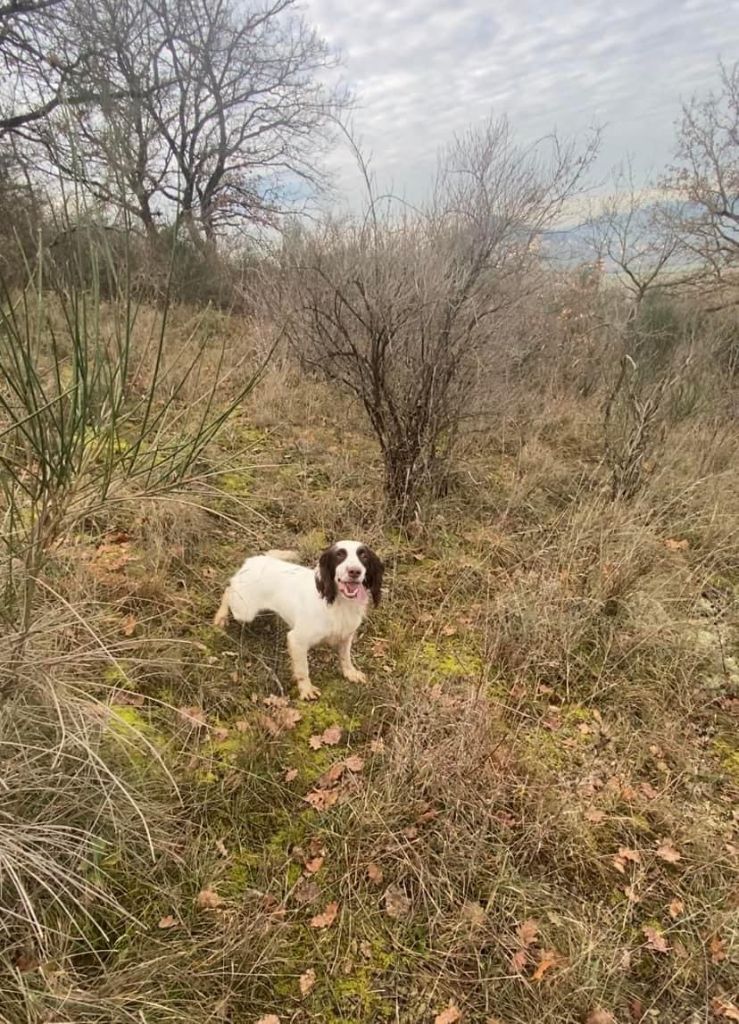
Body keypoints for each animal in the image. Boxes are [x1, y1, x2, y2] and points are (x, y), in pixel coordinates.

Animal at [213, 541, 384, 700]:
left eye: (363, 555)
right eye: (339, 555)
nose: (355, 571)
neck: (338, 603)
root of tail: (252, 561)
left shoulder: (346, 636)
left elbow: (345, 658)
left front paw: (351, 673)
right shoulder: (297, 640)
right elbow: (303, 669)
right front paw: (306, 690)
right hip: (244, 610)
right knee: (228, 591)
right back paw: (220, 618)